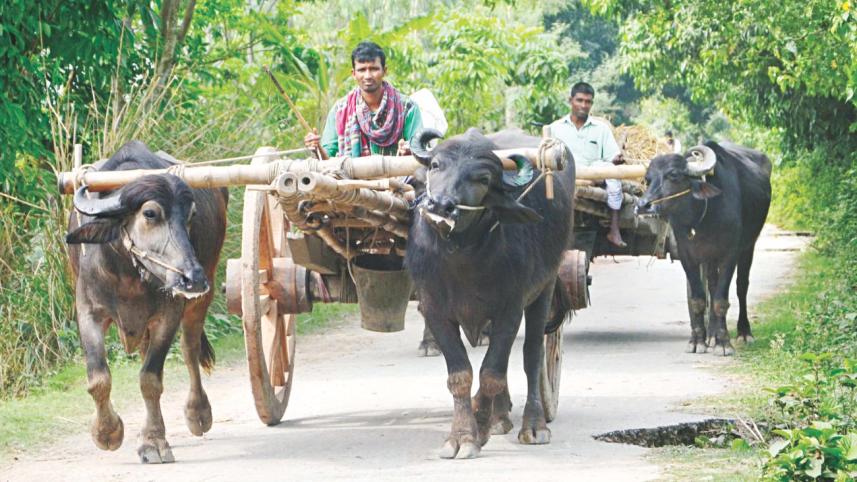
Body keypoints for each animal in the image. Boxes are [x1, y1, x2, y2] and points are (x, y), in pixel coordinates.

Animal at [65, 141, 228, 463]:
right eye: (150, 214)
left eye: (190, 215)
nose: (193, 278)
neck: (127, 272)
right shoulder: (88, 312)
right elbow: (98, 377)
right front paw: (107, 432)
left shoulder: (169, 314)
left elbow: (150, 379)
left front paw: (153, 442)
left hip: (202, 298)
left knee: (189, 350)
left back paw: (198, 413)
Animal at [406, 128, 574, 459]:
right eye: (436, 165)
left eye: (482, 178)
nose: (440, 206)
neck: (462, 256)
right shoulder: (434, 310)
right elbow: (461, 375)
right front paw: (461, 436)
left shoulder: (510, 308)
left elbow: (491, 372)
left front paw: (479, 429)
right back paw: (500, 418)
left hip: (544, 289)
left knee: (531, 356)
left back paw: (533, 425)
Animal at [636, 141, 772, 355]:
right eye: (648, 179)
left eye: (674, 175)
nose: (643, 206)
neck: (703, 216)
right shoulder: (688, 256)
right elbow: (698, 300)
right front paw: (697, 341)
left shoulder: (729, 254)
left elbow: (720, 300)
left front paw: (724, 343)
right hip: (709, 257)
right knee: (712, 285)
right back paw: (711, 335)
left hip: (748, 245)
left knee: (741, 286)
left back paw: (743, 333)